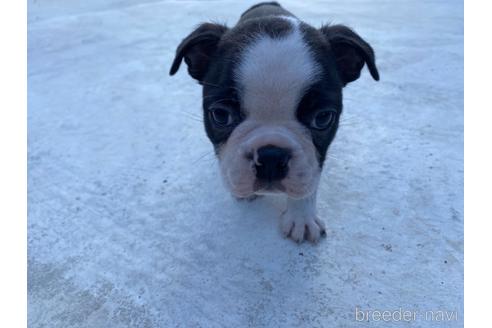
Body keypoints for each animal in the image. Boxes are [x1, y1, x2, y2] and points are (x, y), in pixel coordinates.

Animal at [170, 1, 380, 243]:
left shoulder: (315, 160)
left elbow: (309, 184)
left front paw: (302, 217)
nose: (271, 156)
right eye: (221, 115)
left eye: (322, 118)